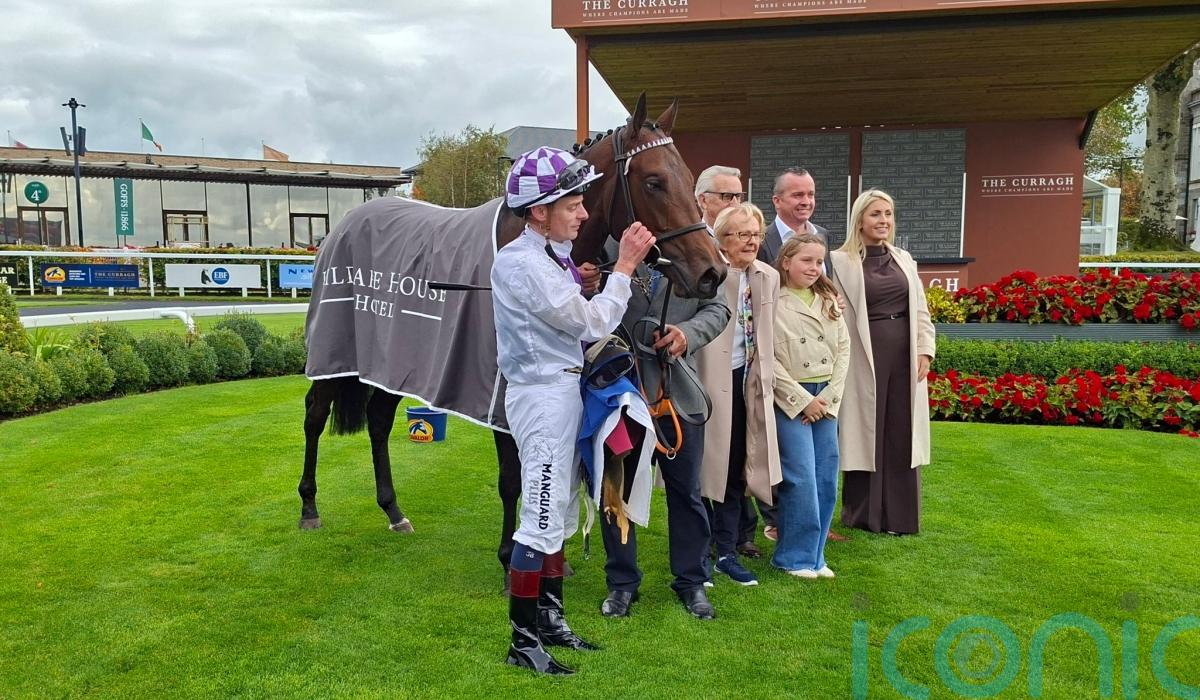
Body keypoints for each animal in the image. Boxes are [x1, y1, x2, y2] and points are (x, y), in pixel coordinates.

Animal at [298, 94, 726, 580]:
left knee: (378, 420)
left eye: (689, 179)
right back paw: (309, 508)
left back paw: (393, 510)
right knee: (314, 416)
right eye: (654, 182)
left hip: (395, 362)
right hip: (335, 355)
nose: (713, 272)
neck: (531, 246)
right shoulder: (503, 391)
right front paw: (510, 561)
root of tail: (345, 224)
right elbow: (511, 477)